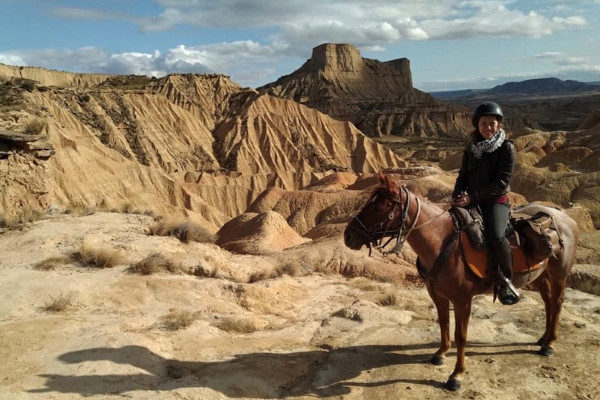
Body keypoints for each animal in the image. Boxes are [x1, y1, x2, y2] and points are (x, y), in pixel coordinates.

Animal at [344, 173, 580, 390]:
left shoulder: (462, 300)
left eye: (377, 209)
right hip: (539, 275)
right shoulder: (437, 294)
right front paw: (440, 354)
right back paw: (543, 338)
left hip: (559, 274)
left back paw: (550, 344)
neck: (441, 241)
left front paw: (456, 375)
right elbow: (443, 324)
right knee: (548, 302)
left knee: (557, 302)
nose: (348, 236)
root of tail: (565, 217)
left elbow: (461, 335)